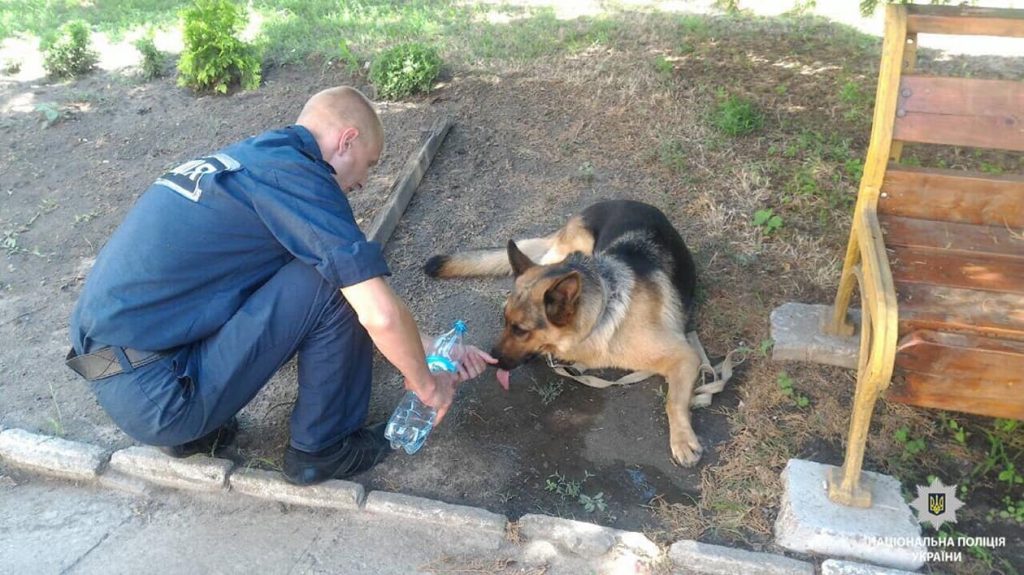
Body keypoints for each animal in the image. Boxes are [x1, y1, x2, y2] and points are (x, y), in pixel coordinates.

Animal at [423, 199, 704, 462]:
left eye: (521, 330)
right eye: (505, 323)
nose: (492, 361)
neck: (601, 315)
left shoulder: (685, 356)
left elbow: (673, 401)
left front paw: (681, 440)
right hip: (572, 251)